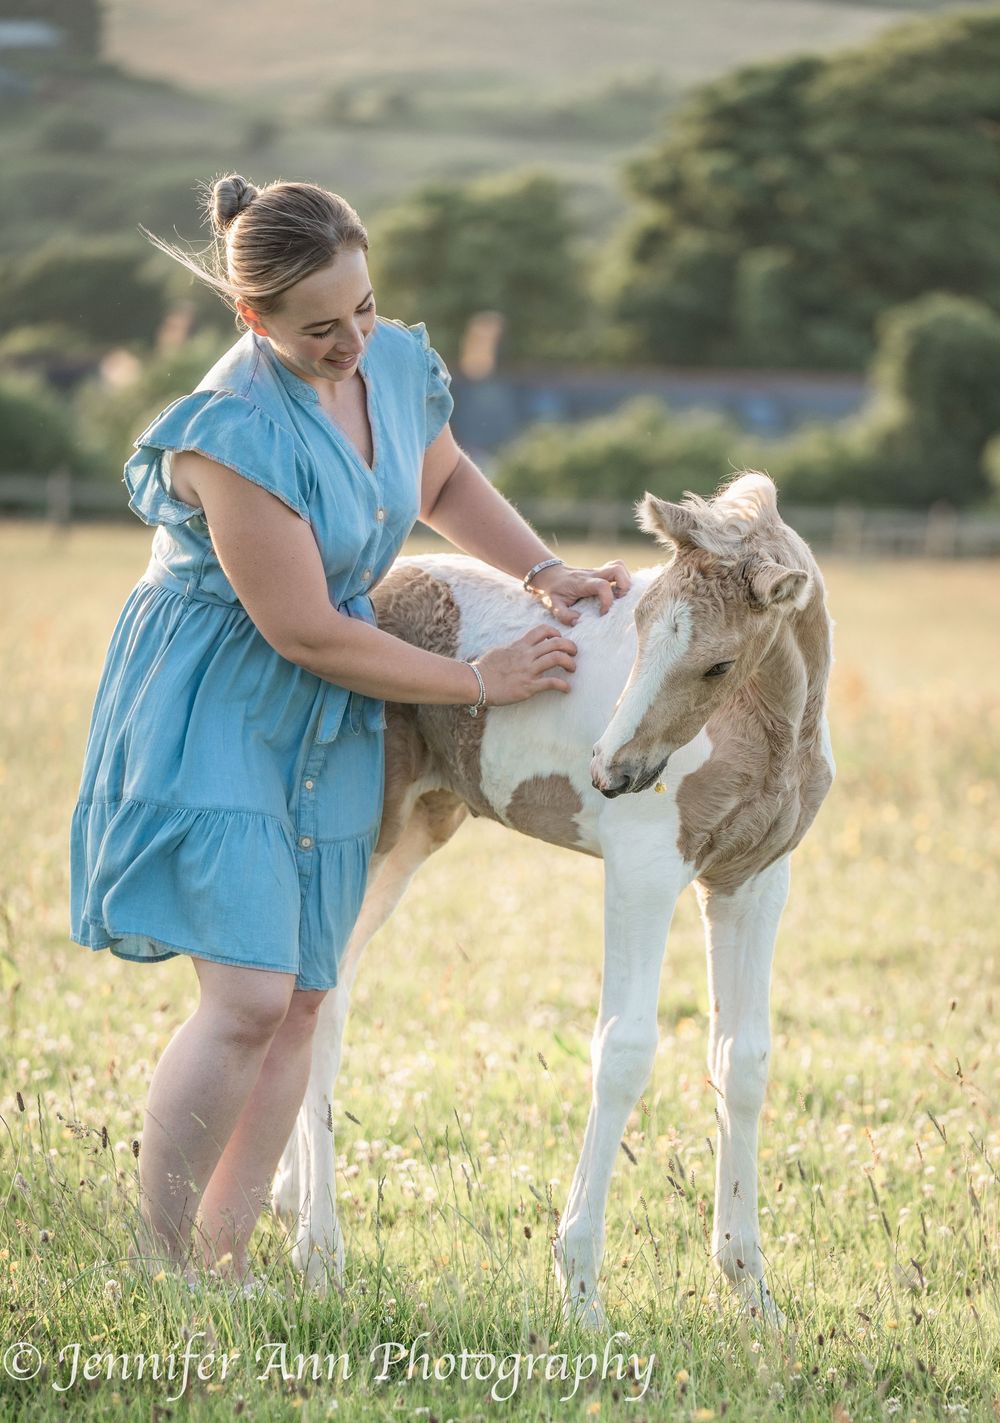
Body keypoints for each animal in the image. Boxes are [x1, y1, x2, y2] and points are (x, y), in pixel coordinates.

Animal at [271, 469, 836, 1327]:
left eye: (718, 664)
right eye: (640, 624)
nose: (611, 768)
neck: (771, 731)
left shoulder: (754, 880)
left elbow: (743, 1059)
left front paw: (754, 1297)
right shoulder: (642, 867)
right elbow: (624, 1050)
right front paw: (579, 1292)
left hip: (418, 832)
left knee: (322, 993)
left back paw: (287, 1206)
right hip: (366, 840)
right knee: (322, 998)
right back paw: (319, 1252)